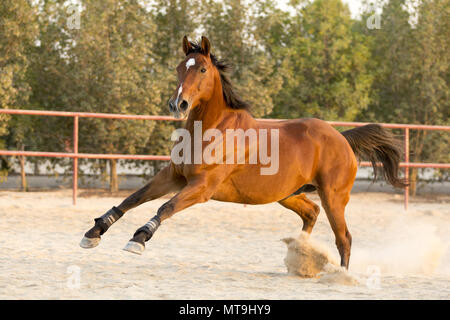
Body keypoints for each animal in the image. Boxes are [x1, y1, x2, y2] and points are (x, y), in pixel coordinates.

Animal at [79, 36, 406, 268]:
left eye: (202, 69)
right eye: (178, 68)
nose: (178, 105)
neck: (210, 131)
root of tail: (341, 138)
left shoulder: (202, 187)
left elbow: (165, 208)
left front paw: (139, 239)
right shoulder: (174, 176)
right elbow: (133, 198)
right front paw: (94, 232)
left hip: (333, 196)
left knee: (344, 238)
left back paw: (339, 275)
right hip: (288, 194)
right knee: (311, 214)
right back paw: (300, 255)